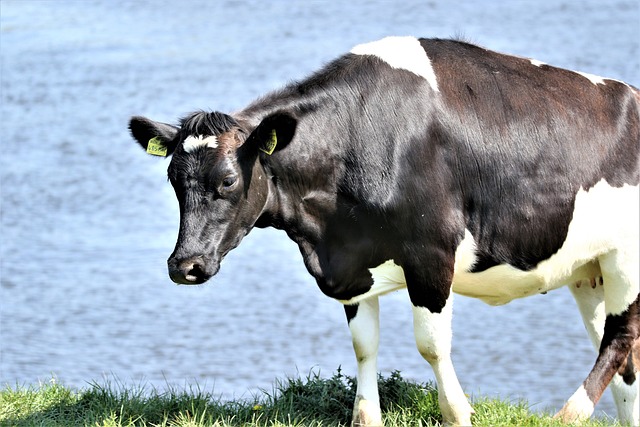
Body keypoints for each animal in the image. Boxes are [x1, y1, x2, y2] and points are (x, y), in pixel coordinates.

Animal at [131, 37, 640, 427]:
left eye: (228, 181)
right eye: (173, 179)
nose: (185, 265)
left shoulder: (431, 254)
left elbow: (432, 346)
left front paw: (458, 412)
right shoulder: (351, 263)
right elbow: (364, 346)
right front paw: (366, 416)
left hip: (625, 259)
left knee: (618, 341)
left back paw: (569, 413)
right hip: (588, 268)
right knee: (625, 360)